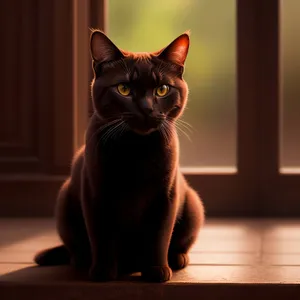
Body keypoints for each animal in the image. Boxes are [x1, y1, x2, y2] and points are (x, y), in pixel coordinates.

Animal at [34, 29, 205, 282]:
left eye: (162, 89)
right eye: (123, 89)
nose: (146, 108)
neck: (136, 150)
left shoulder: (166, 195)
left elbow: (159, 235)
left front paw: (156, 271)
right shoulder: (95, 192)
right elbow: (101, 235)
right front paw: (103, 272)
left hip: (193, 205)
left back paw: (177, 258)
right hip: (64, 201)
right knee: (76, 247)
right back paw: (82, 261)